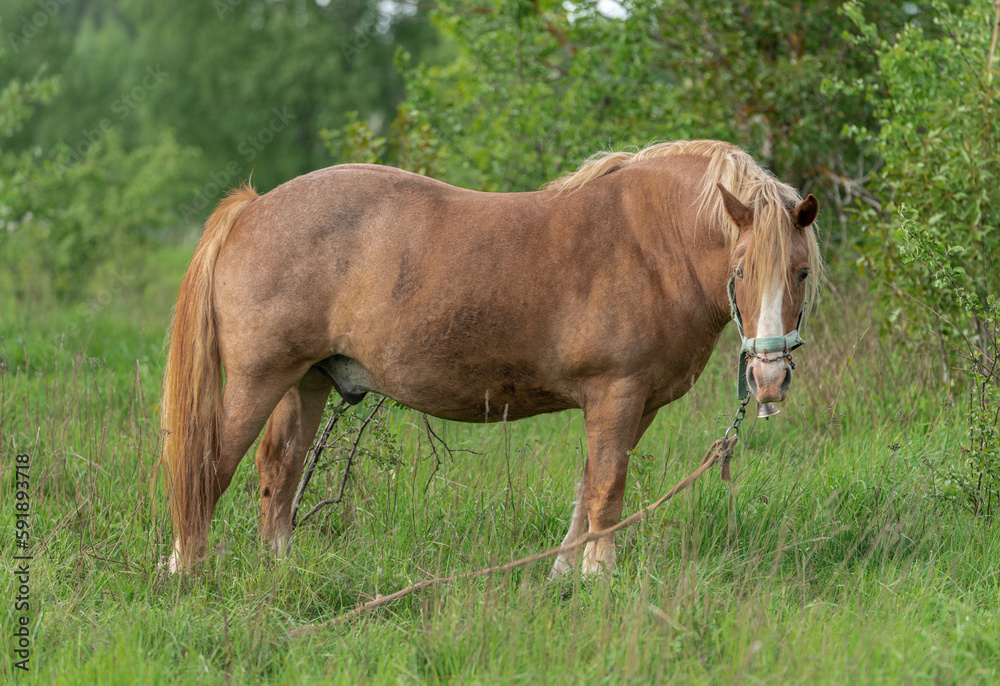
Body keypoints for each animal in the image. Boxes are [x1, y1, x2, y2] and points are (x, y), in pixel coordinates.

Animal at [160, 141, 820, 580]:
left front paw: (563, 573)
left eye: (801, 272)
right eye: (741, 271)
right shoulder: (617, 392)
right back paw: (187, 569)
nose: (768, 379)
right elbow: (608, 486)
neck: (650, 241)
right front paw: (598, 575)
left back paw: (281, 570)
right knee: (211, 467)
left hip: (306, 382)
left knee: (279, 470)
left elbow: (589, 484)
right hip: (259, 379)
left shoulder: (634, 406)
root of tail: (252, 209)